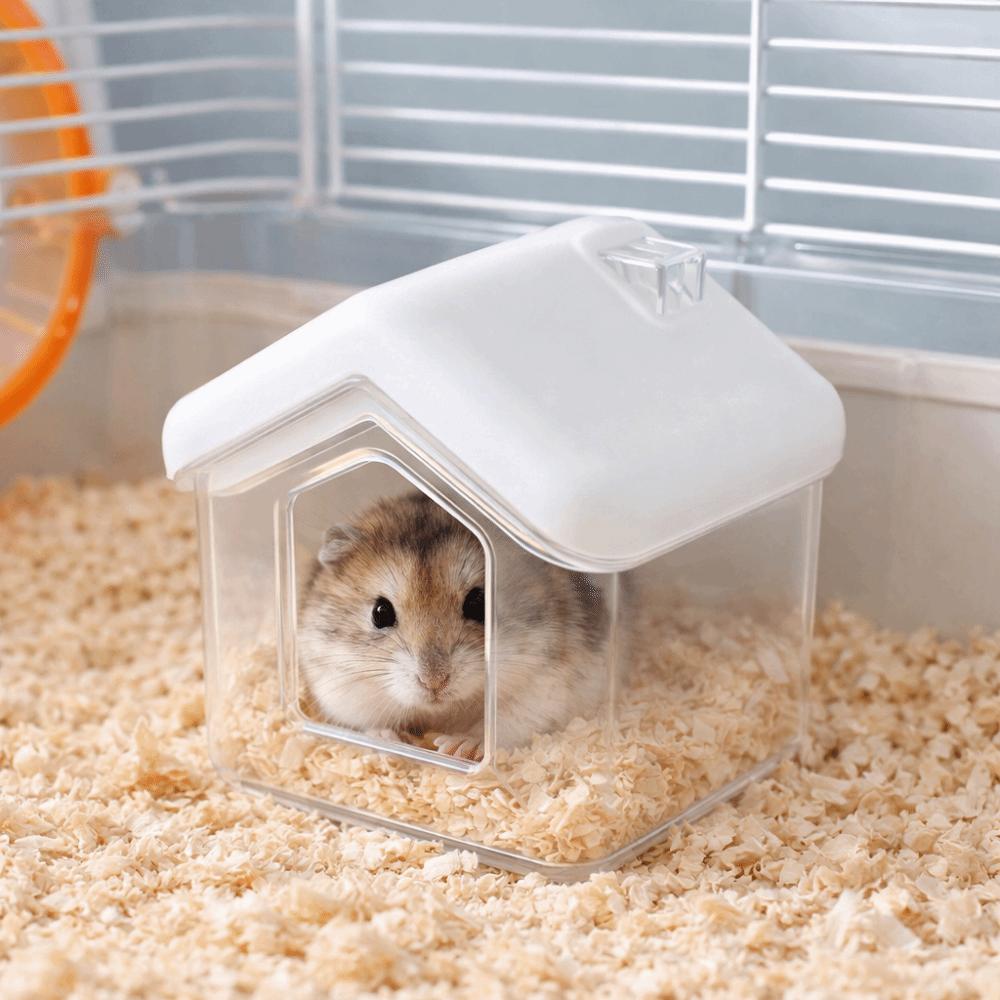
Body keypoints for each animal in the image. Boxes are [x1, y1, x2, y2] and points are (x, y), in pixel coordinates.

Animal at [296, 491, 609, 760]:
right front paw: (392, 742)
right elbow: (368, 723)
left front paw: (458, 747)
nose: (434, 683)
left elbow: (504, 723)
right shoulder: (339, 689)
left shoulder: (546, 688)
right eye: (380, 613)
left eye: (479, 604)